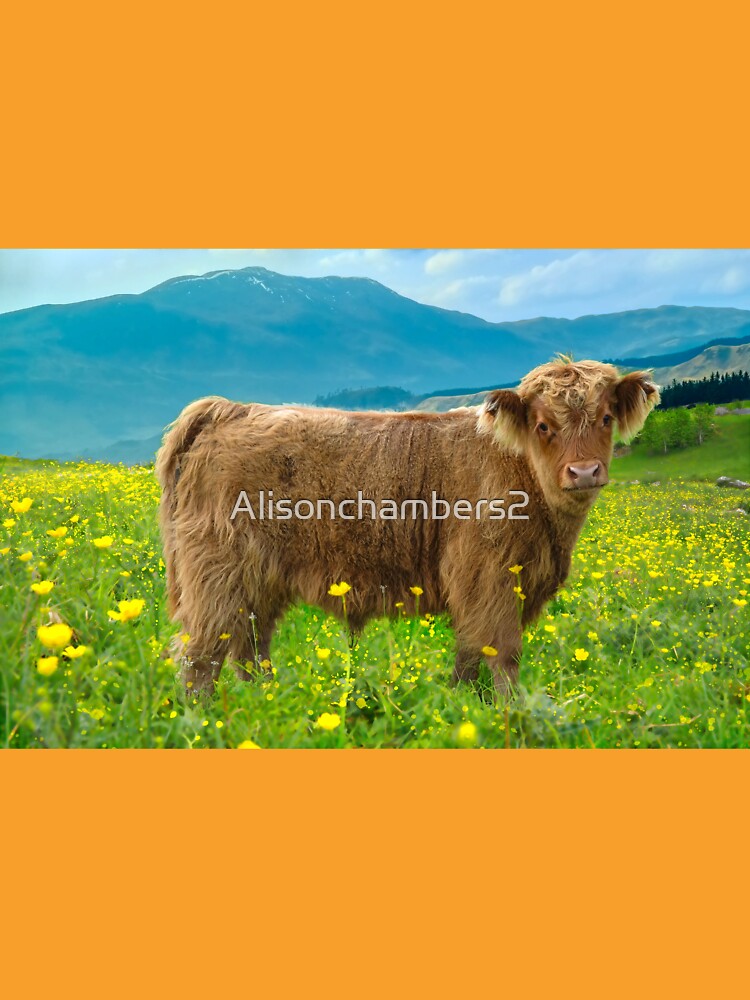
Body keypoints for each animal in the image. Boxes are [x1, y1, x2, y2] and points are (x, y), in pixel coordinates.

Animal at [155, 358, 659, 698]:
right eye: (543, 425)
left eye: (606, 418)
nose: (584, 472)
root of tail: (229, 409)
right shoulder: (488, 576)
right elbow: (502, 651)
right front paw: (510, 713)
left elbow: (469, 652)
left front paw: (458, 702)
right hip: (217, 576)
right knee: (201, 654)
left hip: (258, 581)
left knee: (249, 646)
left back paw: (267, 702)